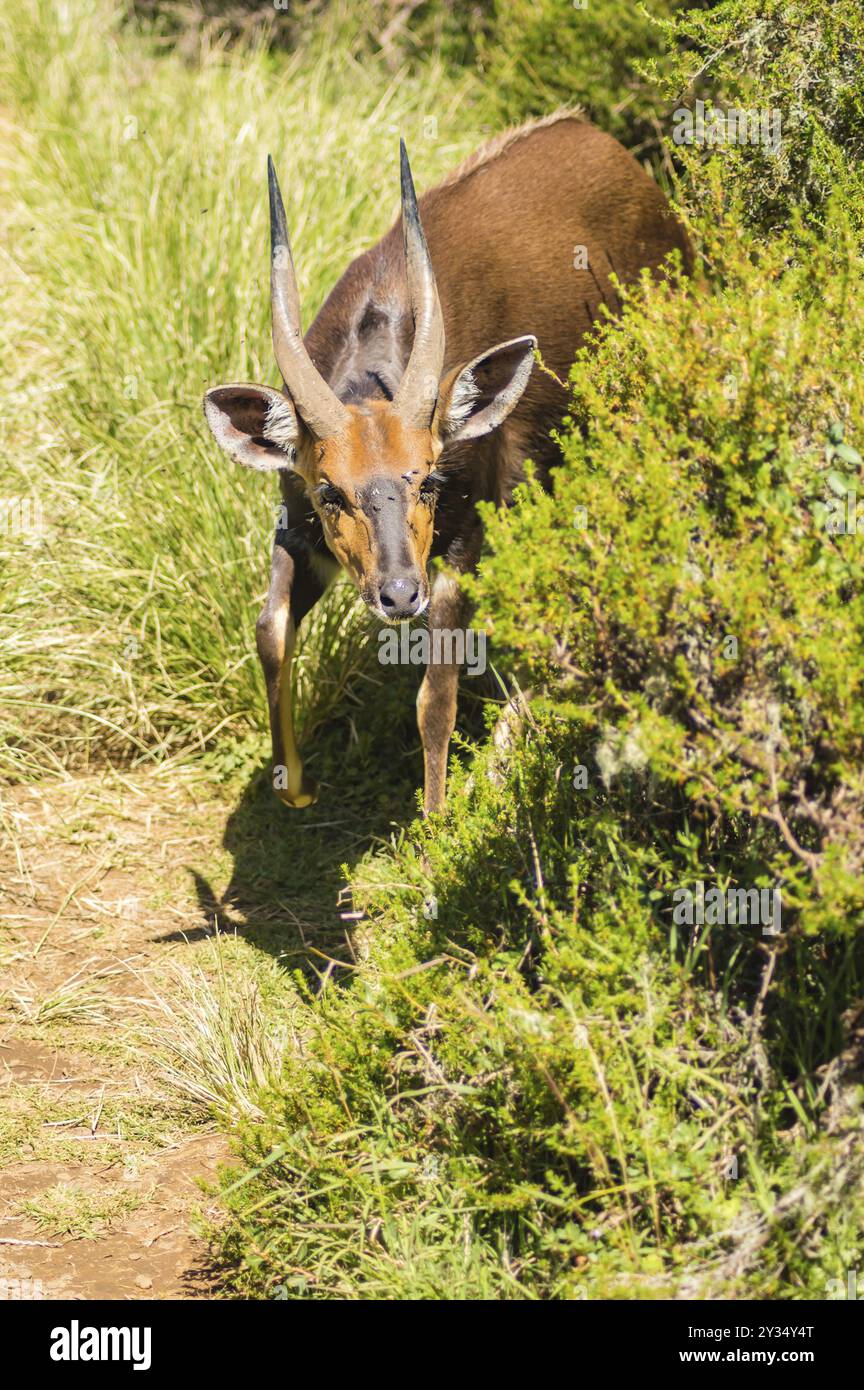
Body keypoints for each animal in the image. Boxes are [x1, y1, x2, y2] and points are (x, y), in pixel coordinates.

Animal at [202, 119, 691, 811]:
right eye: (329, 492)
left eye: (430, 477)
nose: (399, 593)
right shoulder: (296, 527)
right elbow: (270, 629)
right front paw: (294, 786)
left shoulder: (465, 538)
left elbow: (435, 695)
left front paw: (437, 824)